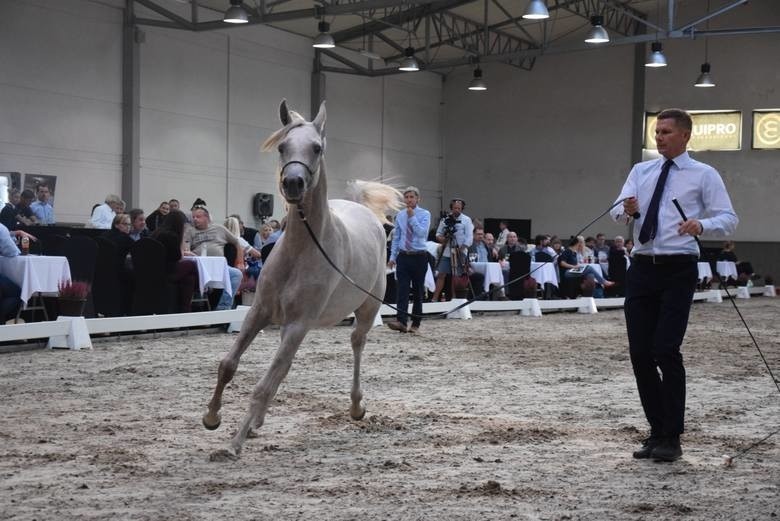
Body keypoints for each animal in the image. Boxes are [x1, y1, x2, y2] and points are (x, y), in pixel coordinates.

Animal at [201, 98, 402, 460]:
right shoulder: (260, 313)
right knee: (284, 367)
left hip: (364, 312)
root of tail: (363, 211)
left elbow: (262, 384)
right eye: (283, 146)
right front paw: (212, 418)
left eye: (317, 148)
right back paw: (257, 423)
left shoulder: (298, 324)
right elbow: (228, 365)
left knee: (356, 344)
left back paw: (356, 407)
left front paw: (233, 443)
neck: (301, 250)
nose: (293, 183)